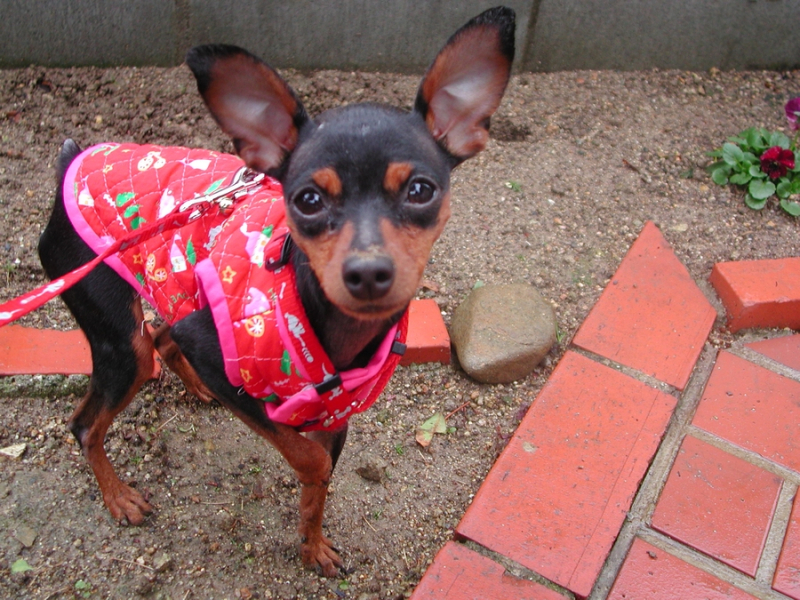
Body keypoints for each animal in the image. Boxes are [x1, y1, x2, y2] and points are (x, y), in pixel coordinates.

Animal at [37, 6, 515, 576]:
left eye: (421, 190)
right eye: (307, 200)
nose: (367, 272)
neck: (331, 328)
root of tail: (73, 161)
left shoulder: (335, 414)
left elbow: (319, 487)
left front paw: (312, 546)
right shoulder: (223, 356)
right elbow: (309, 458)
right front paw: (307, 492)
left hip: (176, 296)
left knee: (163, 337)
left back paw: (194, 389)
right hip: (119, 340)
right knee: (89, 421)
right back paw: (119, 498)